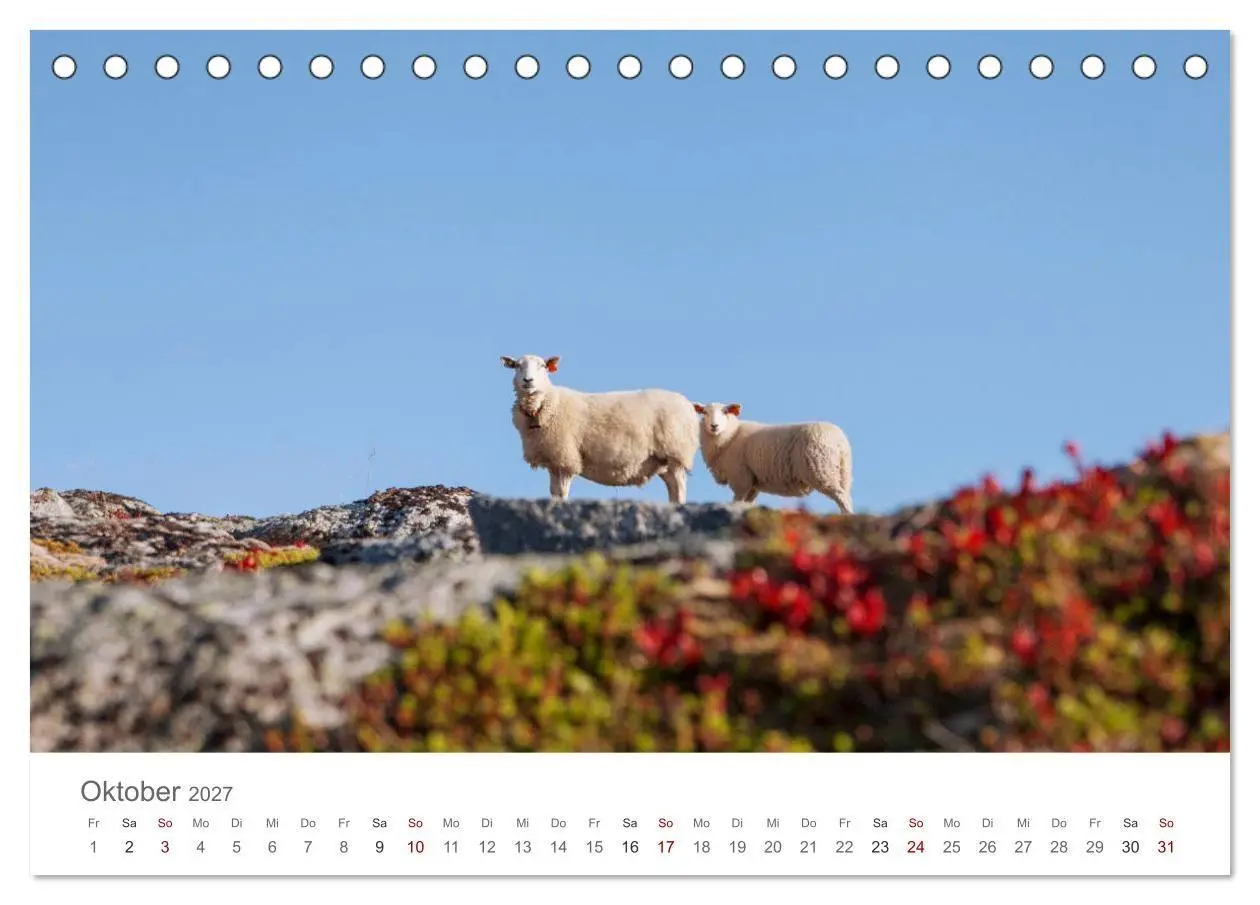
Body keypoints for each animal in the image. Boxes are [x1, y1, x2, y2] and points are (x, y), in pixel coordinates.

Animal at [500, 354, 700, 503]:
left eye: (542, 366)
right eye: (517, 366)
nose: (528, 381)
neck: (546, 404)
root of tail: (688, 403)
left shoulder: (565, 458)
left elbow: (561, 493)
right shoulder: (554, 460)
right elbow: (554, 493)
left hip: (676, 453)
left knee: (679, 487)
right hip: (663, 460)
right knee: (672, 488)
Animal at [693, 402, 854, 513]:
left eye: (725, 411)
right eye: (705, 412)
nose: (714, 426)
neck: (731, 436)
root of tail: (840, 441)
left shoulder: (741, 479)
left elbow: (737, 502)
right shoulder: (752, 484)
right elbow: (747, 505)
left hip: (821, 469)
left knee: (841, 497)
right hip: (842, 473)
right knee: (846, 496)